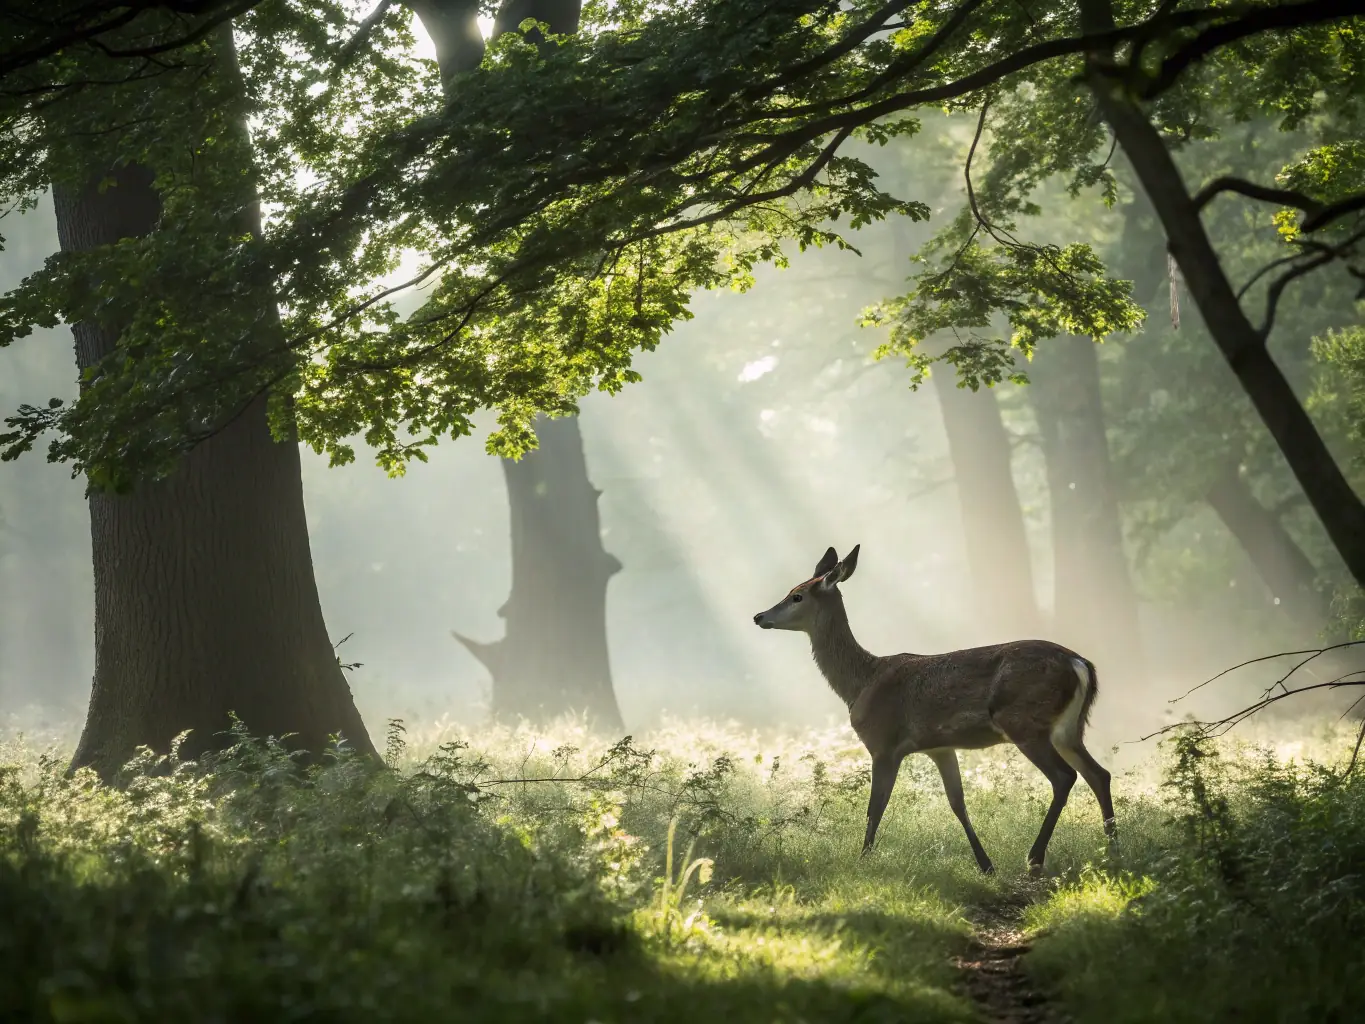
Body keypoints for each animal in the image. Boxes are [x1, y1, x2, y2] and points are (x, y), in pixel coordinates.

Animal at [753, 544, 1116, 874]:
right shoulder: (940, 747)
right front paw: (986, 865)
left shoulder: (884, 743)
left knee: (1065, 776)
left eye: (797, 596)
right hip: (1068, 729)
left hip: (1025, 722)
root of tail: (1080, 664)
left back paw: (1036, 858)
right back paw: (1113, 848)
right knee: (1099, 773)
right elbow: (957, 803)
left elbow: (875, 807)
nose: (759, 616)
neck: (860, 684)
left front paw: (863, 860)